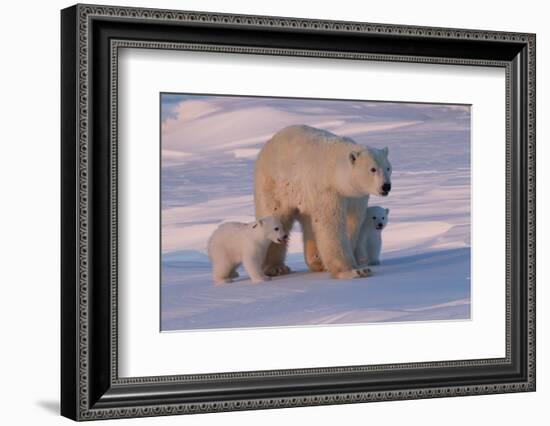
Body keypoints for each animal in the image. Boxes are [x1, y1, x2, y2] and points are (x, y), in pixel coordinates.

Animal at [254, 125, 392, 280]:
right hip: (276, 185)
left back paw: (317, 262)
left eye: (388, 167)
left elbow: (352, 222)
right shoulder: (327, 190)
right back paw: (276, 268)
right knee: (276, 217)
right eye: (372, 169)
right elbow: (331, 224)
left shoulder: (356, 196)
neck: (335, 172)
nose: (386, 186)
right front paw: (354, 271)